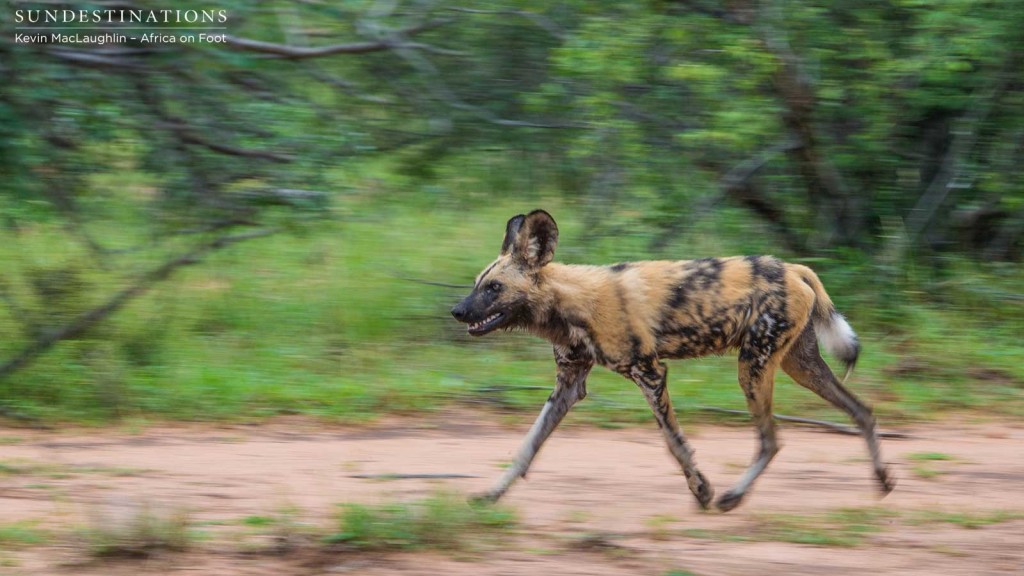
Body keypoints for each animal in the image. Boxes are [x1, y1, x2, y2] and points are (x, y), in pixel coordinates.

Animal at [452, 211, 892, 510]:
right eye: (477, 284)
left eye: (494, 288)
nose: (457, 311)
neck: (573, 304)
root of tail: (792, 267)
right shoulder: (568, 386)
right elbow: (527, 446)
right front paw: (493, 493)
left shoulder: (650, 374)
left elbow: (674, 442)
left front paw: (702, 490)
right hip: (799, 366)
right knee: (862, 410)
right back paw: (883, 479)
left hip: (753, 368)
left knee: (771, 439)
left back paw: (732, 496)